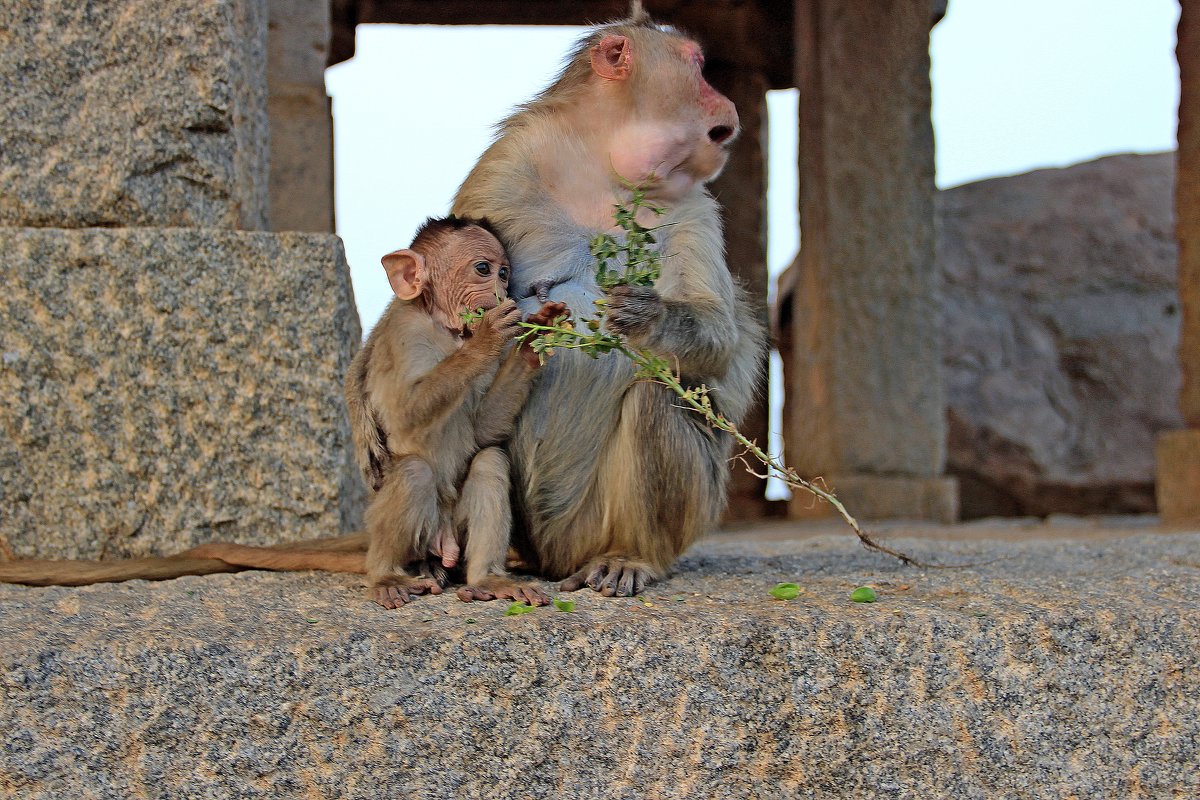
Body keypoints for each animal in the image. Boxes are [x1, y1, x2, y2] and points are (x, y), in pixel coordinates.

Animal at [343, 215, 556, 609]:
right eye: (483, 269)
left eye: (505, 273)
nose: (503, 292)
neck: (447, 329)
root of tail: (442, 543)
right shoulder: (405, 330)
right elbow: (404, 413)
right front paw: (487, 338)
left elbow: (483, 430)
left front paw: (533, 341)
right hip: (413, 534)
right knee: (414, 471)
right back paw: (385, 575)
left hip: (455, 529)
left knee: (489, 460)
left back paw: (488, 579)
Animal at [451, 4, 768, 594]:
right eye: (697, 66)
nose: (729, 104)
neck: (605, 163)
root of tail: (558, 557)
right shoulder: (507, 166)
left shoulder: (694, 206)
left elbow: (718, 335)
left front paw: (645, 314)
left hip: (649, 519)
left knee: (656, 396)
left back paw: (631, 556)